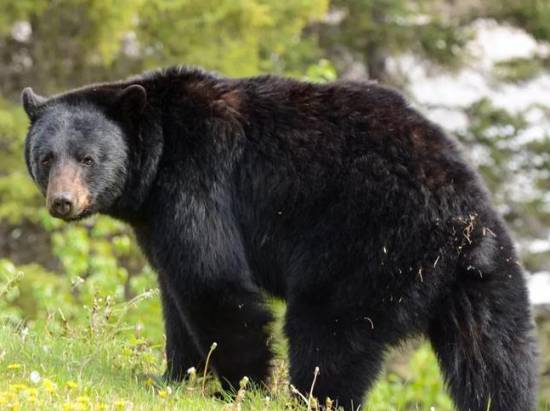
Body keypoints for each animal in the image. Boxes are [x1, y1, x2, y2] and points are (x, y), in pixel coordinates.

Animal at [21, 66, 540, 410]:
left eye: (87, 158)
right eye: (46, 157)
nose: (63, 201)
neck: (156, 157)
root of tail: (463, 222)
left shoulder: (197, 179)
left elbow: (213, 282)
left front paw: (236, 386)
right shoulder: (156, 215)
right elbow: (175, 291)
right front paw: (173, 376)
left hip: (366, 241)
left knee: (328, 331)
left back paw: (306, 399)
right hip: (488, 280)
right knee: (497, 357)